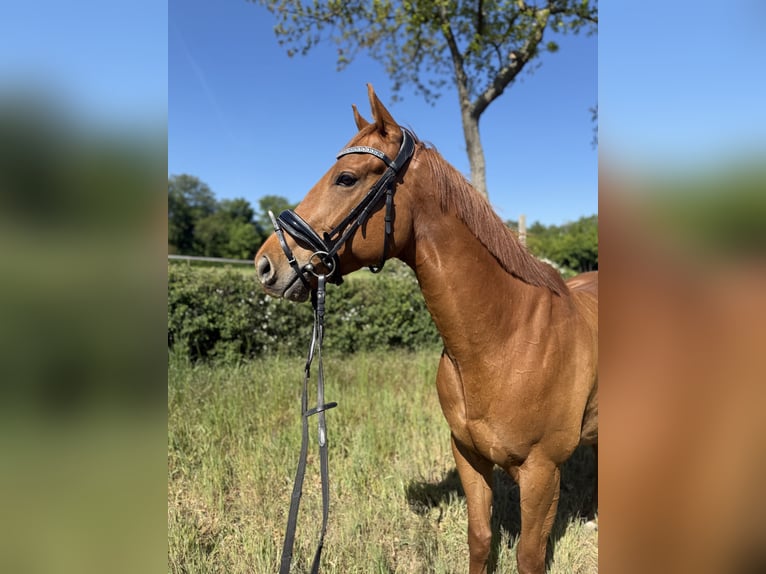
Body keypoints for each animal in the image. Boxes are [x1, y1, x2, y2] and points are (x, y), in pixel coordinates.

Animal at [255, 84, 598, 574]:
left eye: (346, 178)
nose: (266, 264)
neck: (506, 341)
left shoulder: (542, 473)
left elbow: (529, 557)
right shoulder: (468, 455)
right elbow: (480, 538)